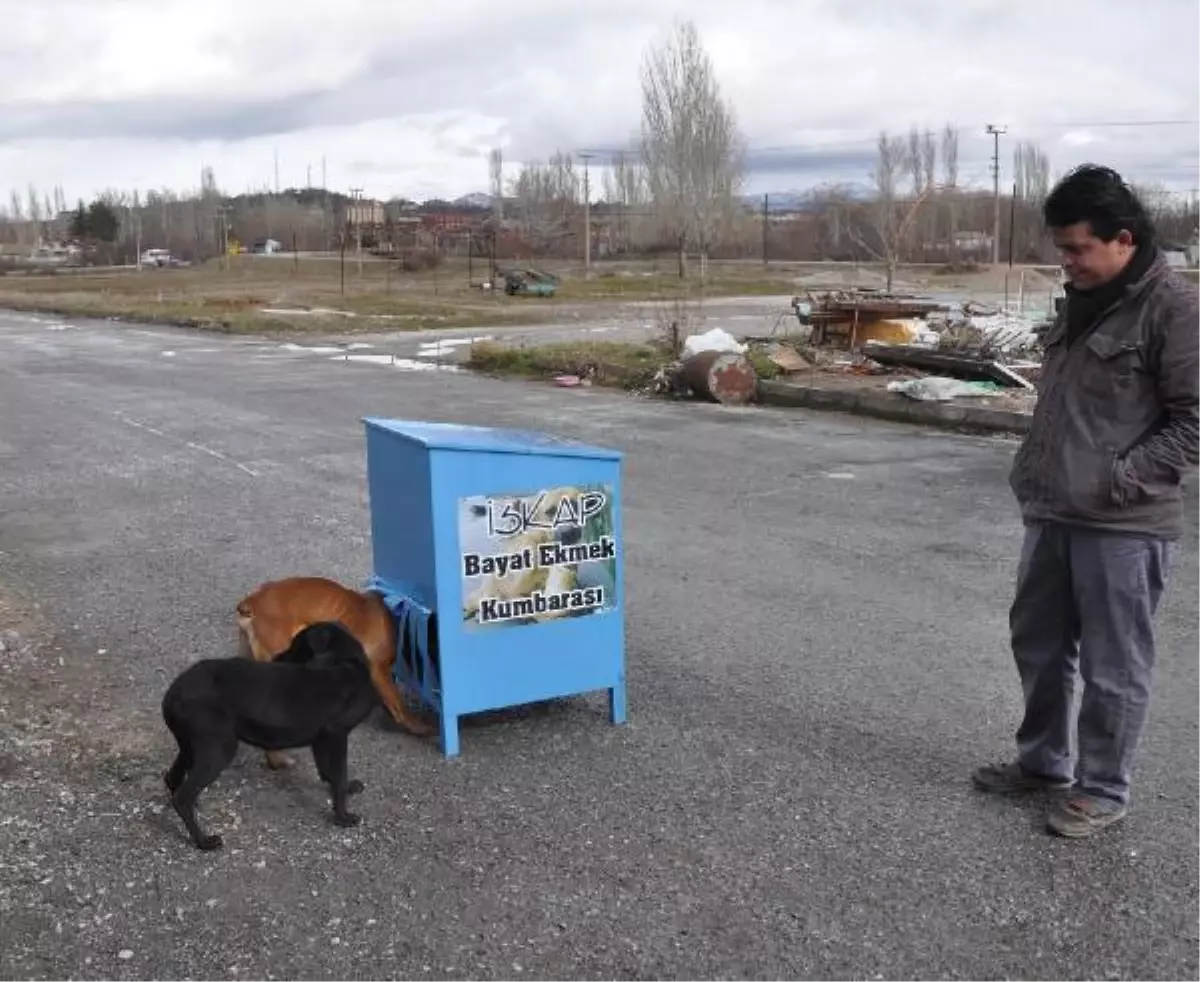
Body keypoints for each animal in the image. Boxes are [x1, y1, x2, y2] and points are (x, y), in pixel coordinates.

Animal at [158, 624, 374, 845]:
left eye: (297, 646)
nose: (275, 658)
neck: (347, 662)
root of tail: (174, 692)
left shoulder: (322, 739)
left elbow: (328, 771)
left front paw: (345, 788)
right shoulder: (338, 735)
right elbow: (339, 776)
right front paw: (343, 817)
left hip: (190, 746)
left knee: (172, 779)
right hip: (219, 748)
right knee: (182, 798)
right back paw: (203, 841)